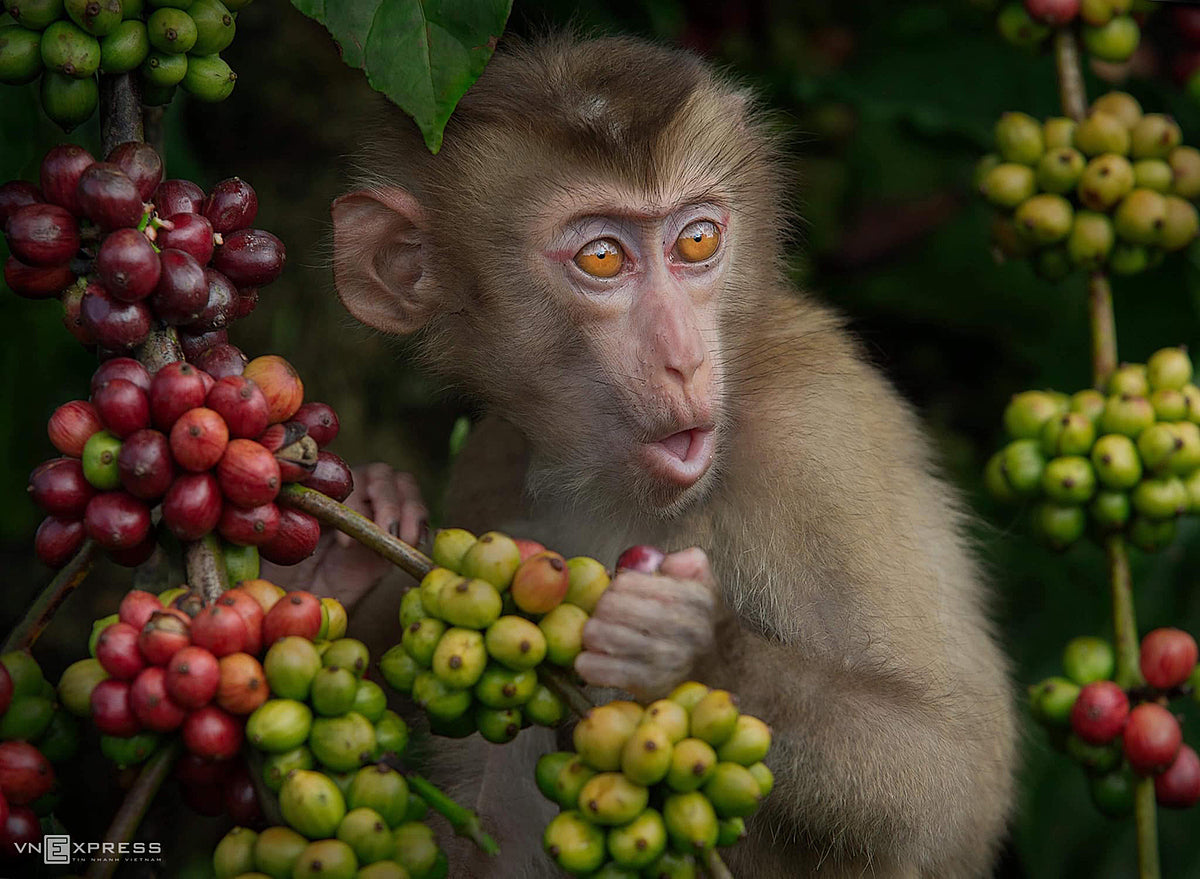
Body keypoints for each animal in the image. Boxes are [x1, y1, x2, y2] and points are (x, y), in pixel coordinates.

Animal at [273, 32, 1019, 878]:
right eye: (601, 257)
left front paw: (695, 651)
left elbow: (952, 777)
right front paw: (333, 559)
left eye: (697, 239)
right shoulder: (492, 465)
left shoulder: (821, 439)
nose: (684, 361)